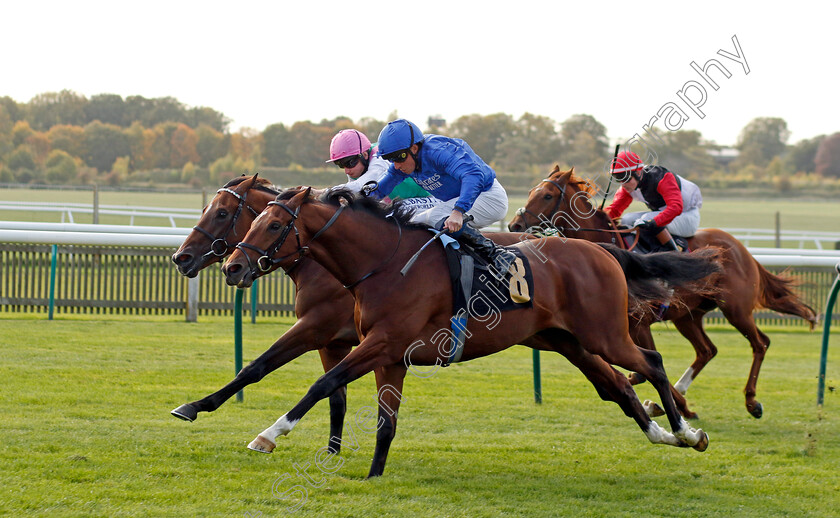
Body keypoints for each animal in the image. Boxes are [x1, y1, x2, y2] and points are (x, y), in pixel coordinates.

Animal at [220, 187, 720, 480]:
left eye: (274, 224)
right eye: (253, 221)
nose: (232, 267)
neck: (383, 261)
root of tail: (602, 250)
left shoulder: (381, 342)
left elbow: (323, 384)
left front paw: (267, 435)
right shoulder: (388, 354)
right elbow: (384, 420)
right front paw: (374, 475)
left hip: (604, 335)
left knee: (651, 364)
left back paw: (686, 430)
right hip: (568, 342)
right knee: (616, 385)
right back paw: (665, 434)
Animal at [508, 169, 816, 420]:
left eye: (547, 195)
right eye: (531, 191)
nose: (514, 226)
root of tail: (741, 249)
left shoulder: (639, 325)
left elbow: (648, 368)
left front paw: (672, 406)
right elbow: (641, 372)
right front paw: (671, 405)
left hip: (735, 309)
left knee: (760, 343)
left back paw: (752, 402)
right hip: (688, 316)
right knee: (707, 350)